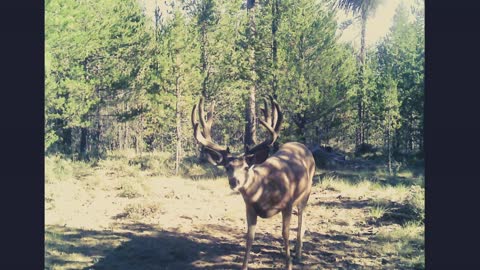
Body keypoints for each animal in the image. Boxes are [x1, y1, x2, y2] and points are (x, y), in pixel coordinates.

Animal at [191, 96, 316, 268]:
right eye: (228, 167)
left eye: (245, 167)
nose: (234, 181)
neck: (264, 191)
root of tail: (301, 145)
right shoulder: (249, 207)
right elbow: (249, 237)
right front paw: (244, 266)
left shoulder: (288, 203)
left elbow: (285, 233)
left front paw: (288, 264)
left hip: (307, 190)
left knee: (301, 219)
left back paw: (298, 254)